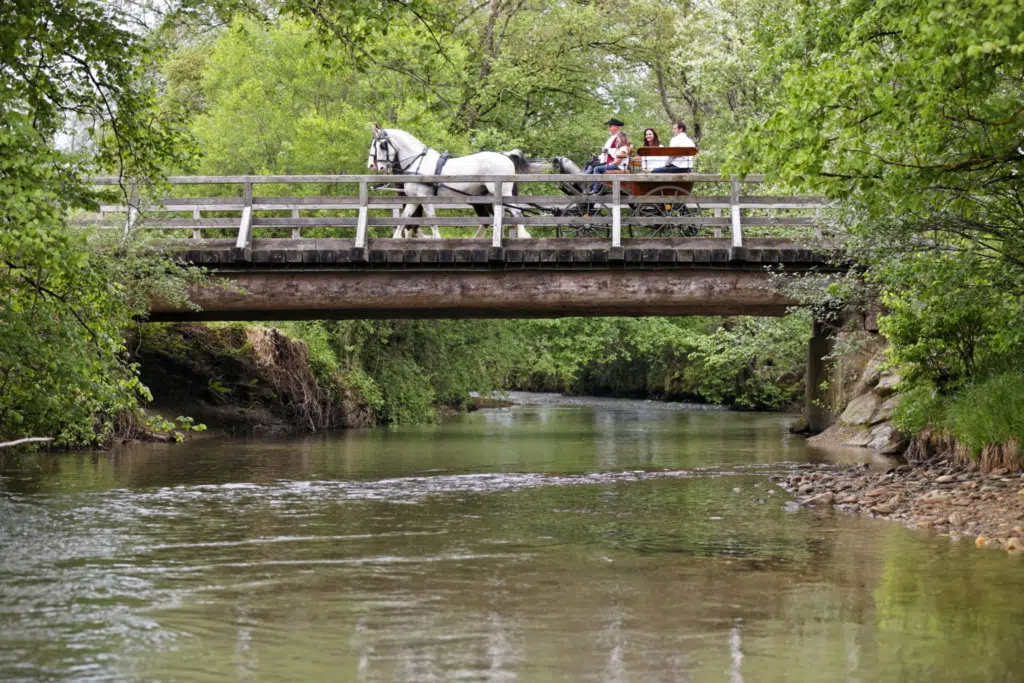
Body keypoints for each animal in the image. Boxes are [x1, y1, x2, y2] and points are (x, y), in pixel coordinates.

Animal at [364, 126, 548, 239]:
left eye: (381, 145)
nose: (375, 166)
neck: (418, 162)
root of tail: (505, 155)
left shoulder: (425, 198)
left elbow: (431, 219)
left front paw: (437, 239)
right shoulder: (414, 200)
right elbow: (405, 219)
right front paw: (397, 238)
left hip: (502, 192)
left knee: (516, 212)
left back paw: (523, 235)